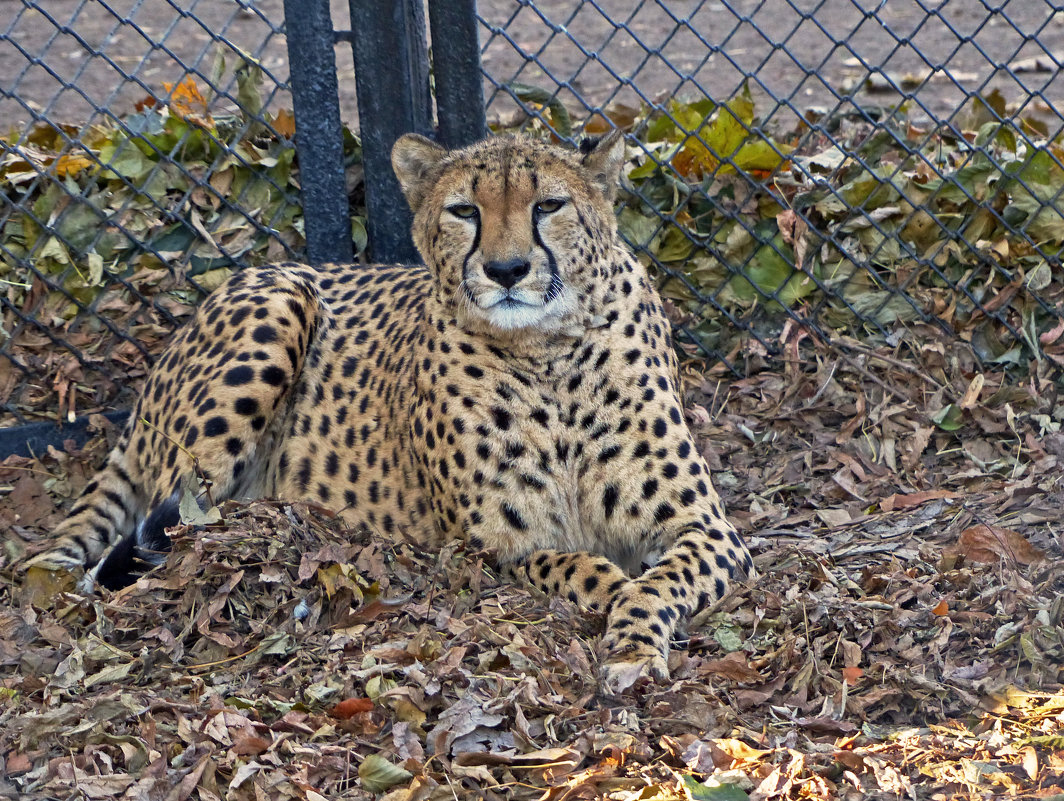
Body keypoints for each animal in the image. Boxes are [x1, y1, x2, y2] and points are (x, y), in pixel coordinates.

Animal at [26, 131, 757, 689]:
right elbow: (573, 565)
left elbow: (660, 581)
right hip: (278, 308)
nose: (508, 270)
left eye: (550, 204)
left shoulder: (708, 529)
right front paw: (608, 592)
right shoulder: (484, 549)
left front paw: (632, 640)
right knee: (177, 528)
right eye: (464, 210)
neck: (546, 353)